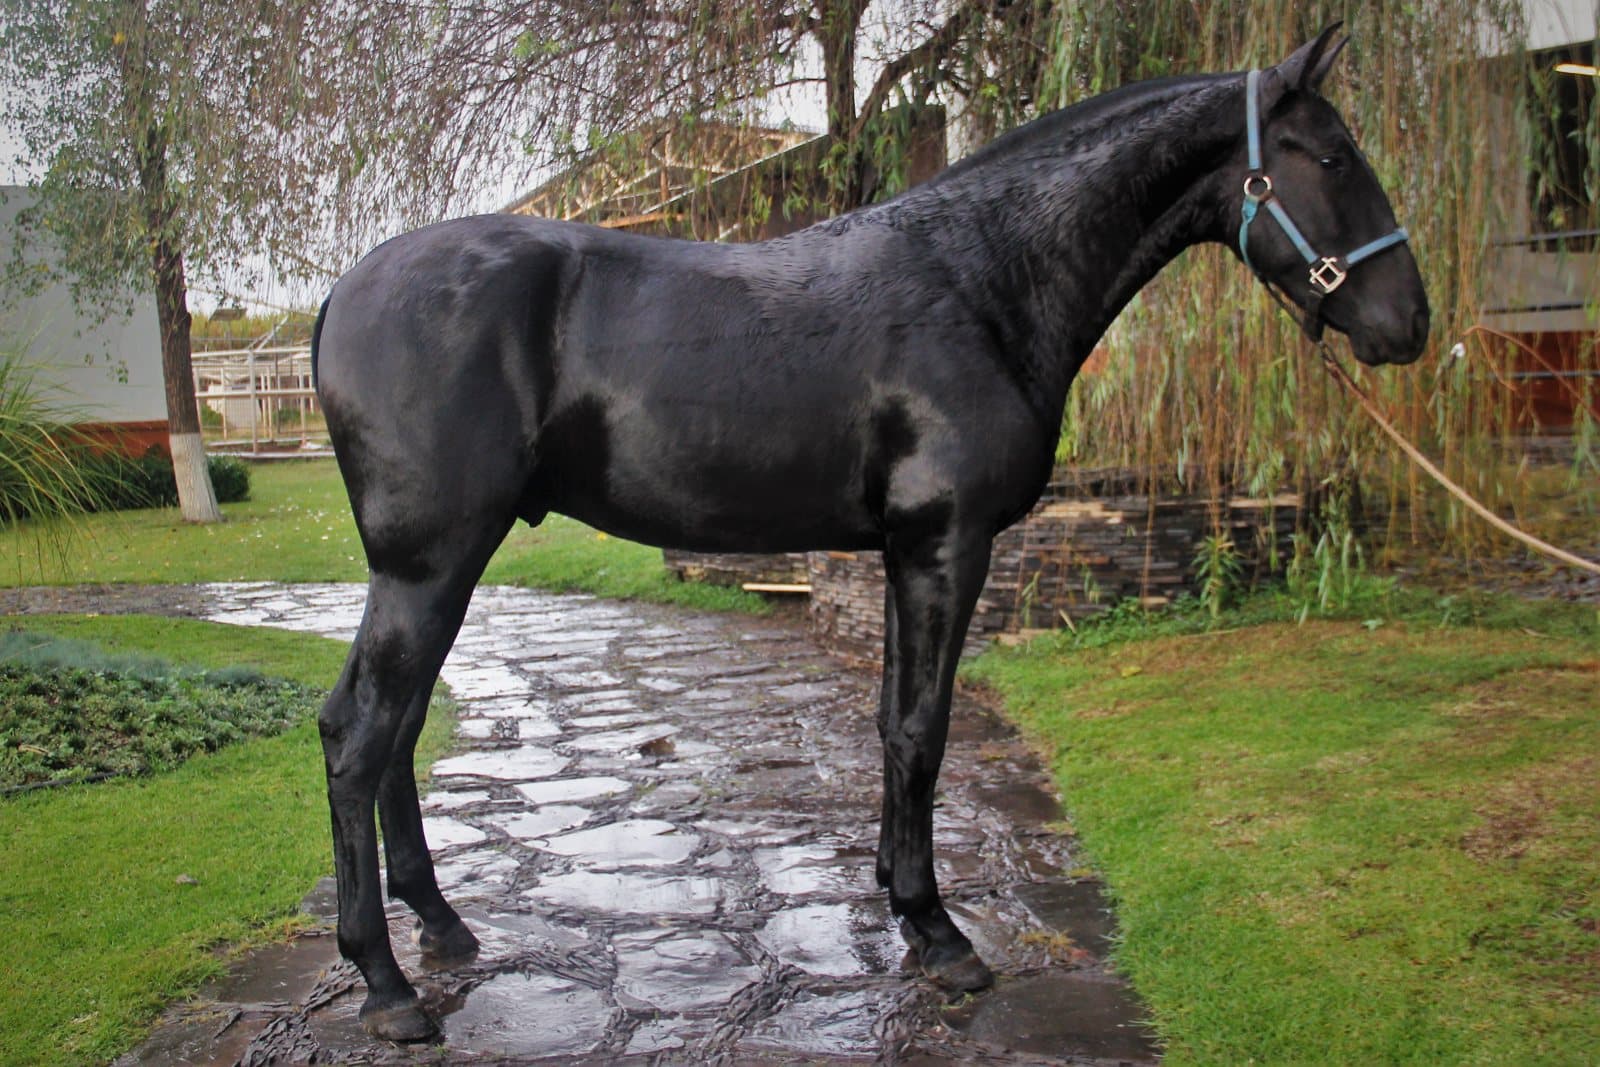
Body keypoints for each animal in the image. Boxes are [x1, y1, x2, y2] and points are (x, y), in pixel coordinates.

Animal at [312, 25, 1428, 1040]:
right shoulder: (945, 544)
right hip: (429, 564)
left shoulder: (903, 551)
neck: (981, 281)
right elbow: (921, 727)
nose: (1407, 322)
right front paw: (938, 932)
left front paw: (897, 888)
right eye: (1332, 157)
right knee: (361, 733)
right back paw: (388, 985)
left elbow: (896, 720)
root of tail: (343, 290)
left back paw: (443, 925)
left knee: (396, 724)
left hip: (435, 567)